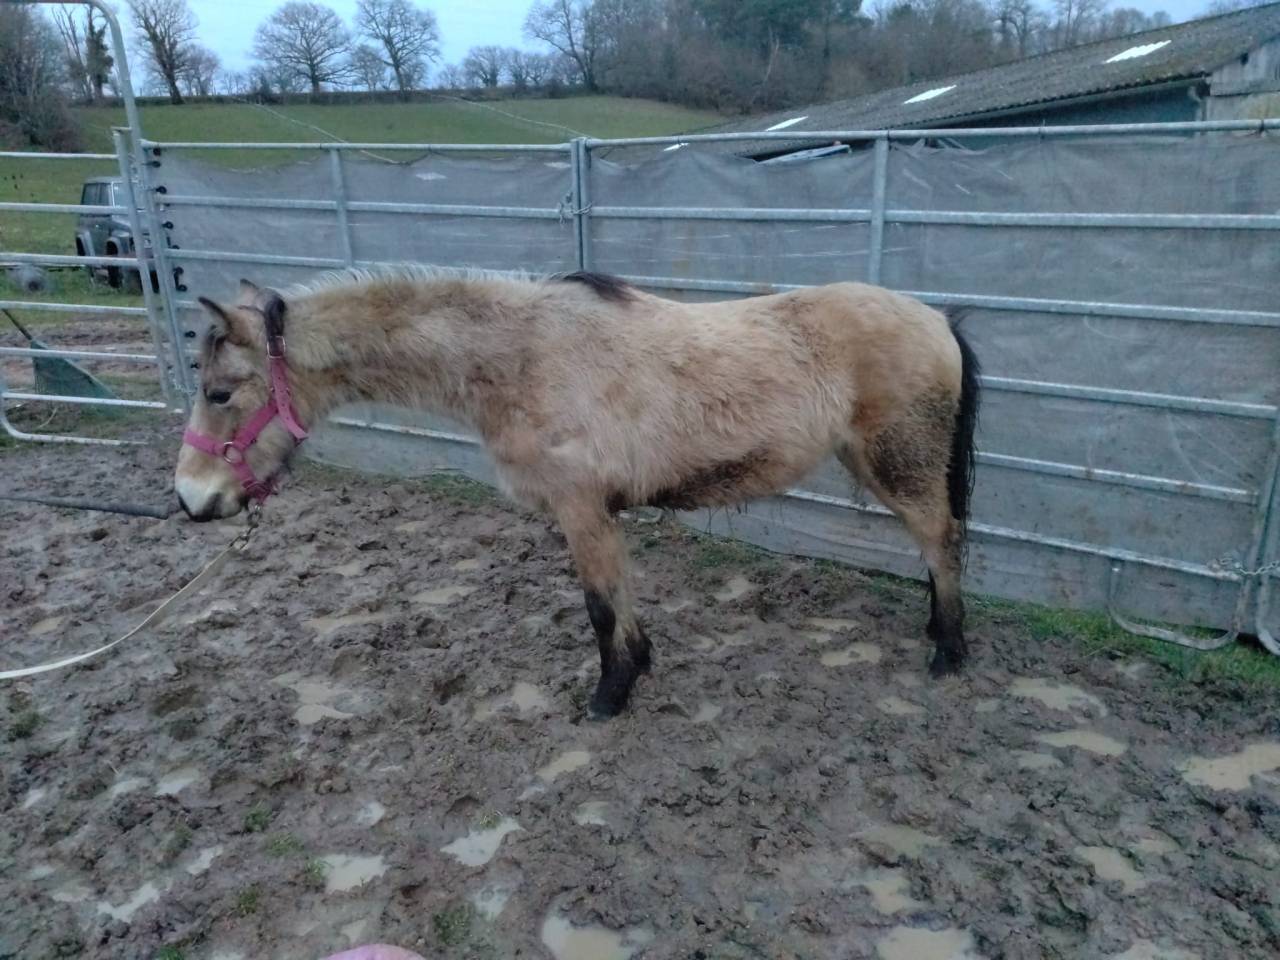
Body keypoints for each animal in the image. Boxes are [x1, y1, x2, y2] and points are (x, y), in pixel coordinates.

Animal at [174, 267, 980, 719]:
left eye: (220, 392)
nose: (190, 500)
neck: (520, 357)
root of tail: (936, 317)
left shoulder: (579, 510)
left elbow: (597, 608)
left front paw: (609, 697)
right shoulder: (599, 515)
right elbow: (619, 596)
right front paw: (640, 666)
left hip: (899, 467)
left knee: (942, 542)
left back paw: (948, 652)